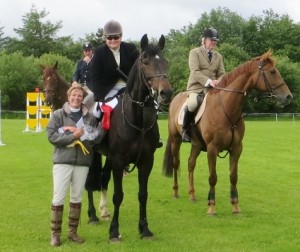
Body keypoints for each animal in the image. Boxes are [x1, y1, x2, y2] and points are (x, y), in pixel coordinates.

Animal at [103, 34, 173, 242]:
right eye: (145, 62)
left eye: (166, 62)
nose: (166, 93)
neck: (138, 120)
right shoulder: (119, 161)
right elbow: (118, 195)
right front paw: (114, 231)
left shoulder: (146, 161)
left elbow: (143, 194)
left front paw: (144, 228)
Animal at [163, 49, 292, 215]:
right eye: (272, 72)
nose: (288, 97)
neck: (226, 108)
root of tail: (175, 99)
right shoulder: (212, 149)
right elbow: (213, 177)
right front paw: (211, 207)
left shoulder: (236, 148)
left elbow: (233, 176)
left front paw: (235, 206)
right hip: (176, 140)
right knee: (176, 163)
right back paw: (176, 192)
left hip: (196, 145)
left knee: (190, 164)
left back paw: (192, 195)